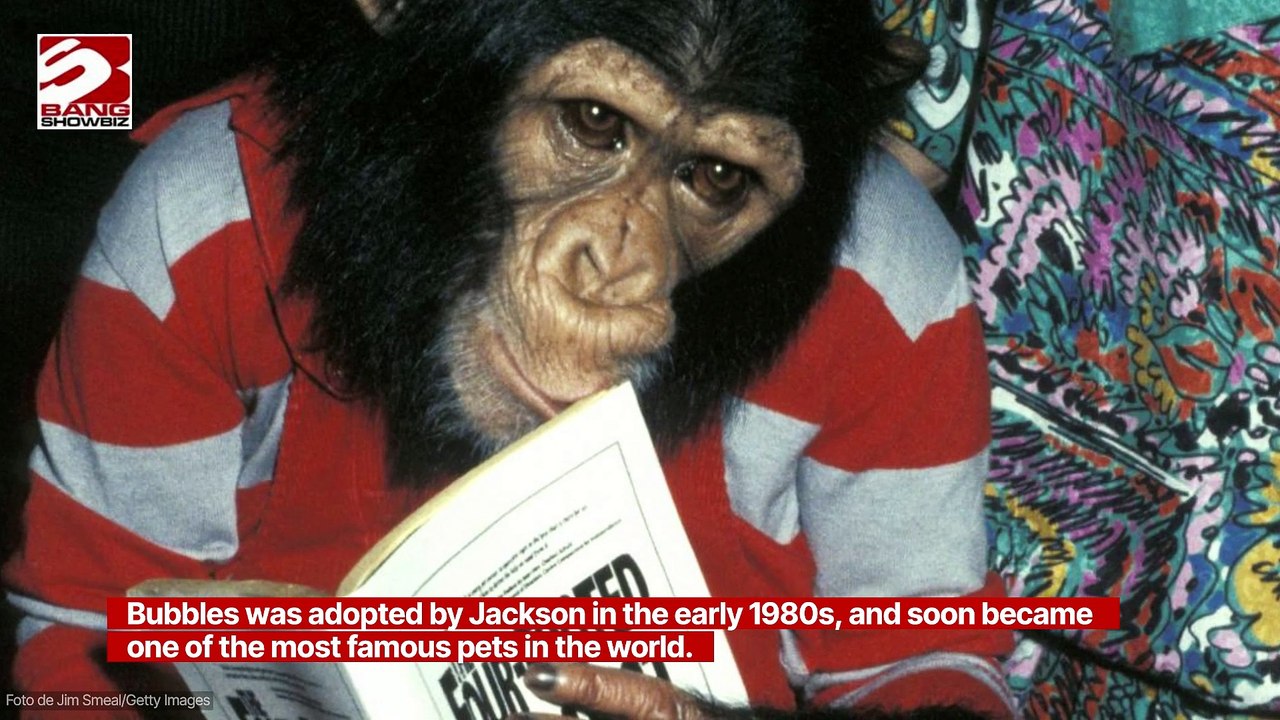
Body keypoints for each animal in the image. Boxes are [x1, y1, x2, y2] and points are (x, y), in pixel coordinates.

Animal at [4, 1, 1013, 717]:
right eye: (595, 122)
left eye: (718, 179)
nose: (613, 271)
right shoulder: (152, 241)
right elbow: (77, 613)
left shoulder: (917, 306)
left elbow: (914, 657)